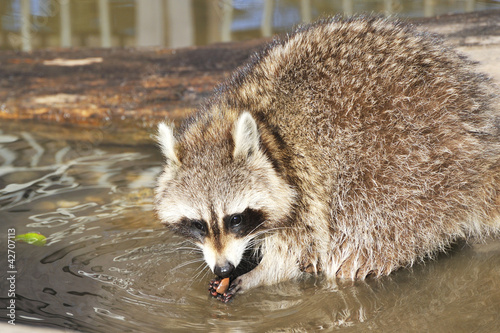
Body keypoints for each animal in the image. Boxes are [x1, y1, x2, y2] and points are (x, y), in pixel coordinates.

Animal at [154, 15, 498, 300]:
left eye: (235, 219)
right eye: (198, 224)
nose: (223, 269)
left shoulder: (303, 177)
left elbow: (301, 246)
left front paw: (262, 274)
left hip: (410, 163)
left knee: (367, 219)